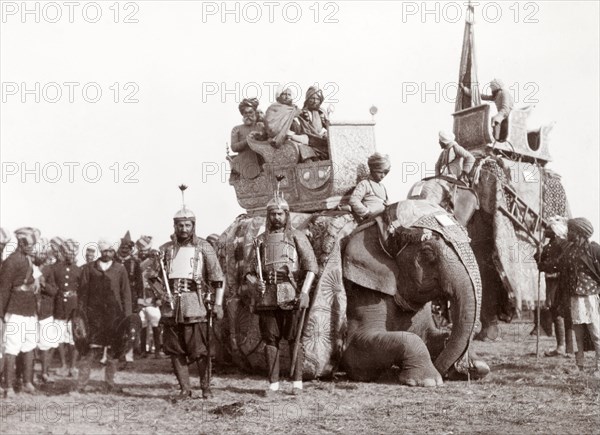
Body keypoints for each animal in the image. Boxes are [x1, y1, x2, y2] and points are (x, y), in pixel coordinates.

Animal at [340, 199, 490, 386]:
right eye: (427, 252)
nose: (452, 371)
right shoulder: (364, 290)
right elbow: (355, 353)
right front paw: (429, 380)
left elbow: (429, 336)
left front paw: (478, 367)